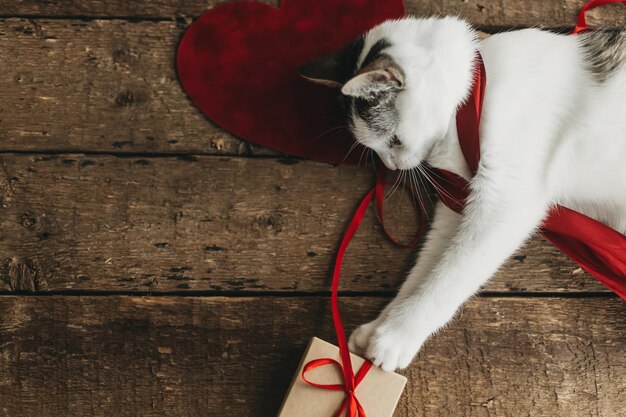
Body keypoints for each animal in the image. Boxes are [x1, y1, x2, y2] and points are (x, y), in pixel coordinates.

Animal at [298, 17, 624, 372]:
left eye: (394, 141)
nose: (390, 166)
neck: (470, 100)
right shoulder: (455, 209)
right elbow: (425, 271)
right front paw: (381, 327)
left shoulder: (505, 203)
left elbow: (448, 278)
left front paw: (396, 336)